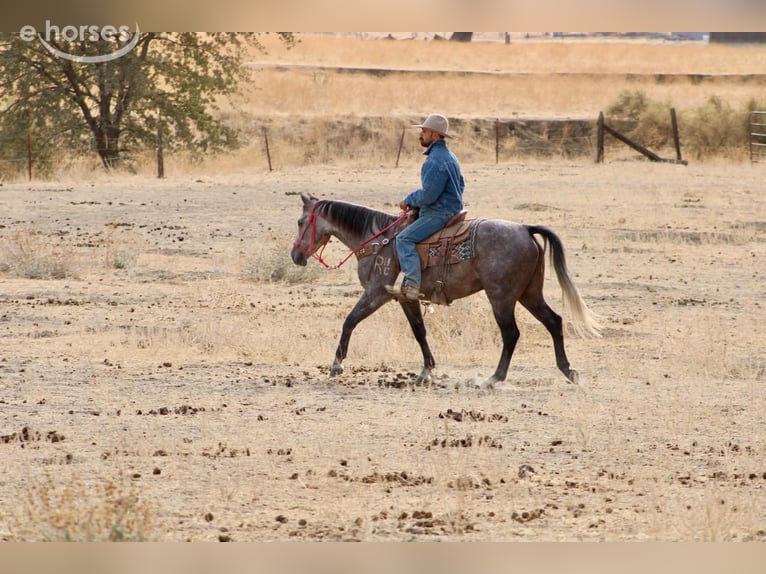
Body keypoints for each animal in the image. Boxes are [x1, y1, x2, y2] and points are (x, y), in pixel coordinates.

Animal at [290, 192, 602, 391]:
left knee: (511, 334)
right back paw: (568, 371)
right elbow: (419, 331)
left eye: (300, 222)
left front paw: (336, 365)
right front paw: (426, 371)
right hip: (529, 294)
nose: (295, 255)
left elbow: (350, 321)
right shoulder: (404, 297)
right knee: (554, 321)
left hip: (501, 297)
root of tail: (525, 229)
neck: (380, 240)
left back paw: (493, 379)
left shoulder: (377, 293)